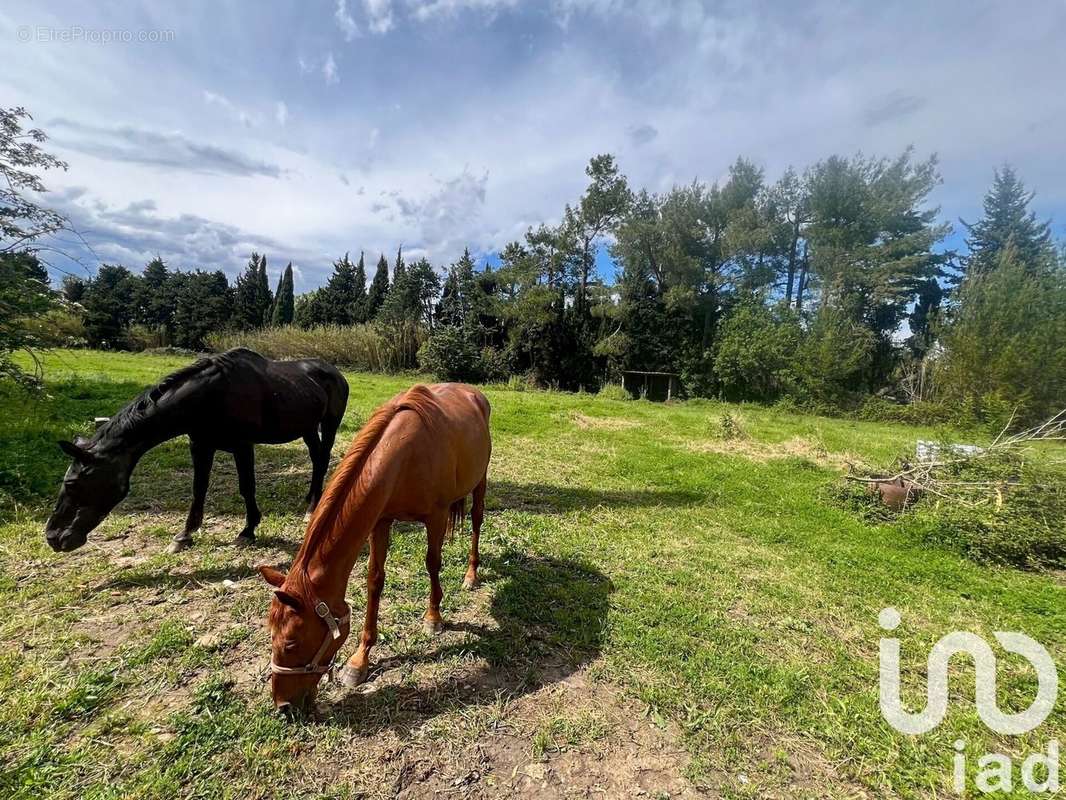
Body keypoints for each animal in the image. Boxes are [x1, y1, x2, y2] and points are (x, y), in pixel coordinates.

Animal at [43, 347, 349, 554]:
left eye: (72, 484)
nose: (53, 537)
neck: (209, 397)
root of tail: (335, 372)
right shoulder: (200, 445)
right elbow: (199, 488)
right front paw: (184, 535)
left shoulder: (243, 445)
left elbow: (246, 486)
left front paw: (248, 530)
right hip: (307, 427)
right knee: (316, 459)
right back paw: (310, 498)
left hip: (329, 424)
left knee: (322, 458)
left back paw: (313, 507)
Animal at [257, 386, 490, 712]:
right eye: (271, 634)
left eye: (292, 642)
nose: (284, 706)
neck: (406, 454)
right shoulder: (380, 521)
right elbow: (374, 581)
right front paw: (359, 660)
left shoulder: (436, 516)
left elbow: (433, 563)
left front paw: (433, 618)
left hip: (480, 481)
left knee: (477, 522)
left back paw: (471, 575)